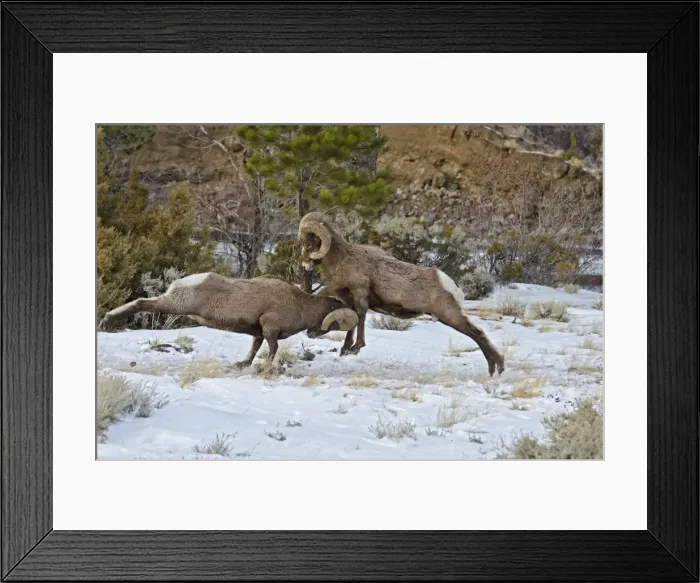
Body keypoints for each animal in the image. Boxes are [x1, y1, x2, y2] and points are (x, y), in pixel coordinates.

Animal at [98, 273, 358, 368]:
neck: (299, 304)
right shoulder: (270, 328)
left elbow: (255, 348)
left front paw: (243, 364)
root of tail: (182, 282)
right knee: (141, 303)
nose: (312, 334)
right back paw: (107, 322)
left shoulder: (259, 332)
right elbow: (272, 349)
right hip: (175, 304)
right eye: (335, 324)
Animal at [298, 212, 505, 376]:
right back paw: (495, 369)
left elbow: (360, 318)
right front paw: (345, 349)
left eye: (308, 243)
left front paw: (355, 348)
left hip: (450, 315)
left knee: (477, 334)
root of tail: (448, 284)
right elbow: (352, 321)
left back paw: (497, 368)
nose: (304, 263)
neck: (342, 260)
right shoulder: (348, 300)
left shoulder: (359, 294)